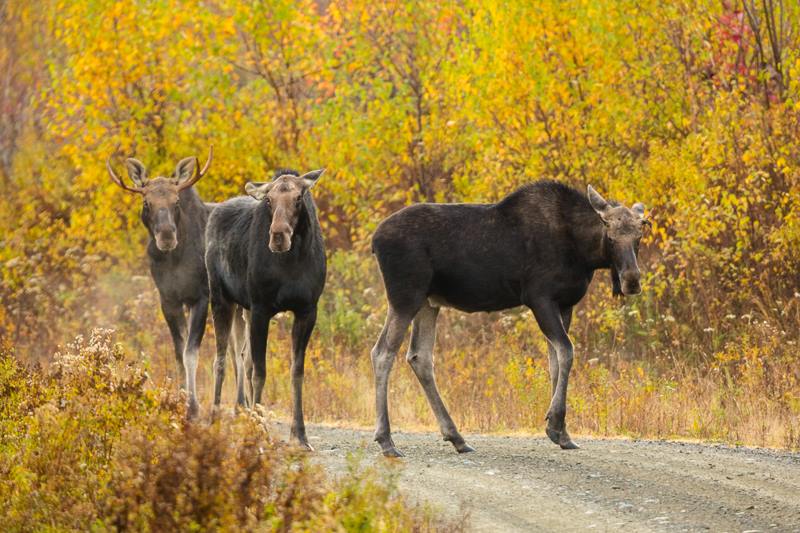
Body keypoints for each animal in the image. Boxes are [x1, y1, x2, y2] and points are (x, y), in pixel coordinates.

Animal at [106, 148, 250, 418]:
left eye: (176, 202)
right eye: (146, 202)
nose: (166, 235)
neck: (175, 260)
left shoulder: (201, 298)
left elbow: (190, 353)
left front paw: (193, 407)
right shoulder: (168, 300)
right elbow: (178, 353)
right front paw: (182, 402)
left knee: (241, 351)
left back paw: (242, 405)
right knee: (235, 349)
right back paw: (241, 404)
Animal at [205, 167, 326, 448]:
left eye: (298, 198)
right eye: (269, 200)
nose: (278, 236)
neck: (292, 262)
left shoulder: (307, 310)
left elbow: (296, 371)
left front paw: (299, 435)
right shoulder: (261, 308)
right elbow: (260, 372)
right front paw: (259, 434)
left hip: (244, 310)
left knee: (243, 358)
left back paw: (244, 413)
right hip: (221, 298)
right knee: (221, 361)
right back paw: (214, 421)